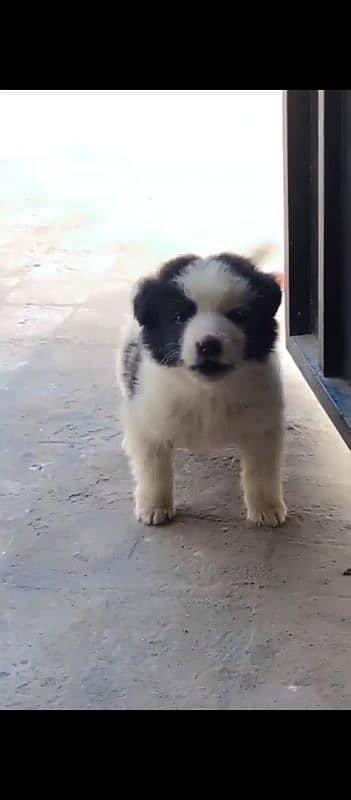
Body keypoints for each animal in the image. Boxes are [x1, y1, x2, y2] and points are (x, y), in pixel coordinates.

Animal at [118, 250, 288, 524]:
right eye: (179, 317)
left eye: (239, 315)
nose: (209, 345)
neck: (207, 392)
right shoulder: (150, 417)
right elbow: (153, 469)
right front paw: (154, 506)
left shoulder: (262, 426)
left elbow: (262, 472)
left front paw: (267, 508)